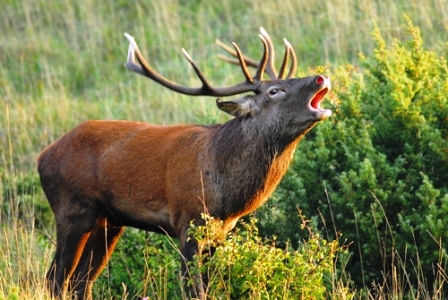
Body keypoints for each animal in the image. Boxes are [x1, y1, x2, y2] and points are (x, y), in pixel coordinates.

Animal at [38, 27, 330, 298]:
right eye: (274, 91)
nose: (321, 77)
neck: (225, 192)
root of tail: (42, 157)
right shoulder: (187, 220)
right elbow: (194, 290)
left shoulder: (220, 233)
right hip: (72, 208)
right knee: (56, 278)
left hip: (108, 221)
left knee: (81, 282)